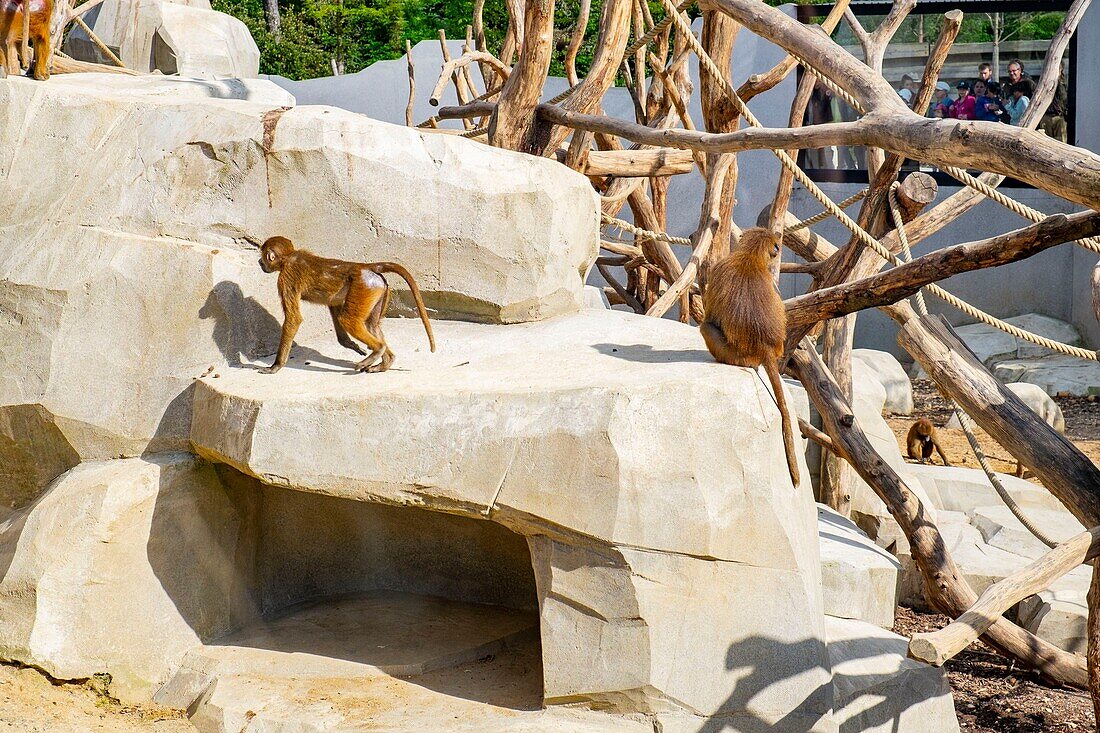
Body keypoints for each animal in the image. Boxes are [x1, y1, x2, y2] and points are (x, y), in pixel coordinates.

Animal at [256, 235, 433, 374]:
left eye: (263, 256)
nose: (259, 262)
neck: (288, 258)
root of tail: (364, 267)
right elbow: (333, 303)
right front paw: (351, 345)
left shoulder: (286, 278)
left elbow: (294, 319)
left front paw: (275, 366)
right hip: (377, 288)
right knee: (371, 325)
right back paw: (385, 362)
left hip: (363, 286)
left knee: (348, 320)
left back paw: (378, 350)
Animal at [704, 225, 800, 488]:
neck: (751, 256)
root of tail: (763, 350)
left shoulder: (719, 269)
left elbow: (710, 315)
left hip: (736, 355)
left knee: (707, 328)